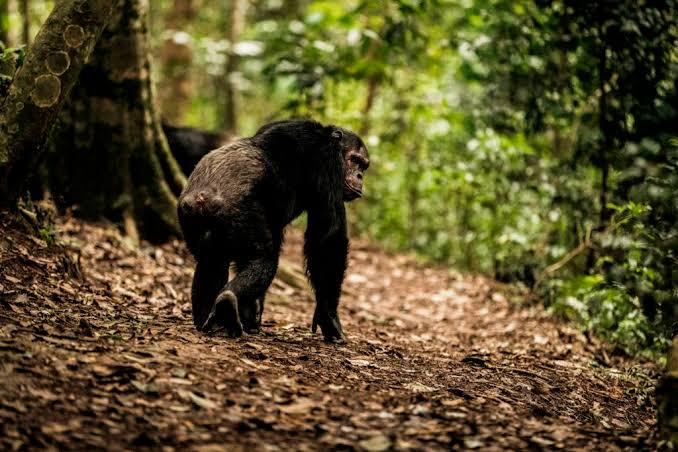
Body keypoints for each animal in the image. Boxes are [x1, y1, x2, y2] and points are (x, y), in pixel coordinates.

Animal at [177, 119, 370, 343]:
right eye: (355, 160)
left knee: (211, 263)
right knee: (264, 260)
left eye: (363, 165)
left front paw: (253, 313)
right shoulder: (328, 166)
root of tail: (201, 197)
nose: (359, 175)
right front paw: (329, 318)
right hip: (240, 215)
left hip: (193, 222)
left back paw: (208, 320)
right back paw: (227, 302)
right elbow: (328, 239)